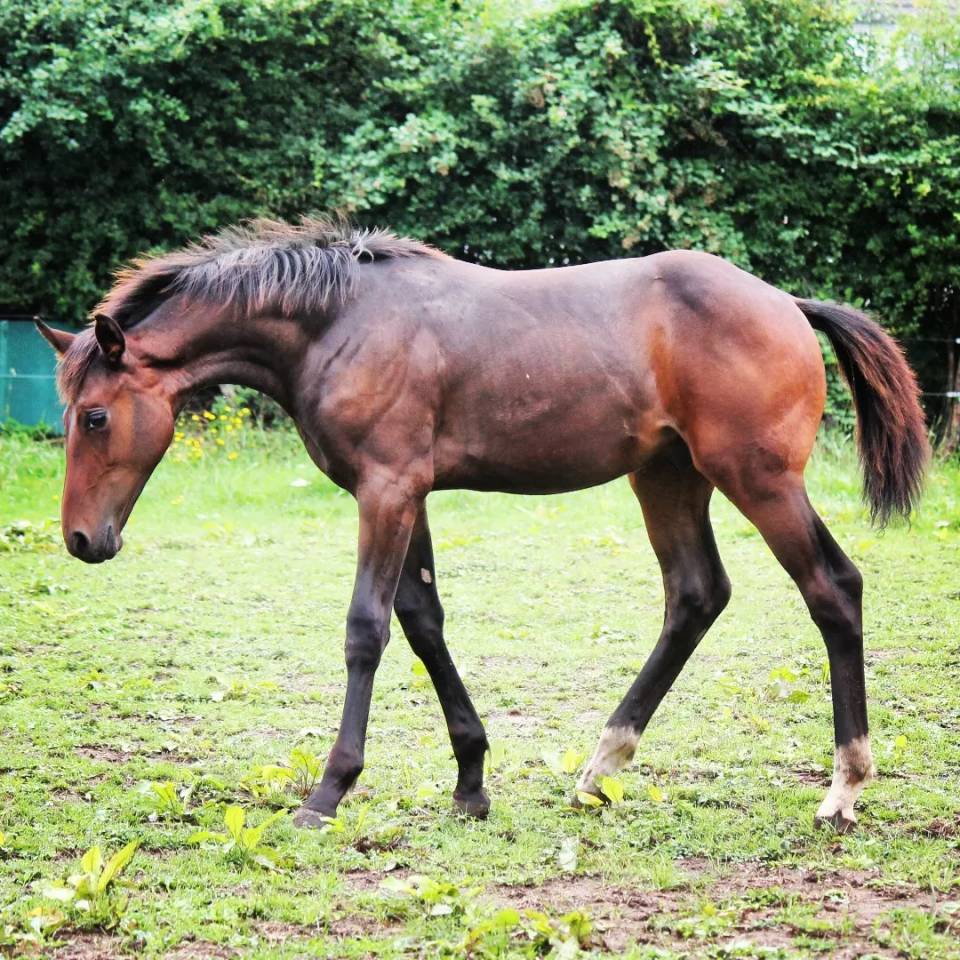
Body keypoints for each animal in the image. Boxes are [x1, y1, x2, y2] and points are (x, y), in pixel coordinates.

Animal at [37, 216, 928, 831]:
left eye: (94, 417)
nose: (82, 540)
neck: (339, 322)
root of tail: (787, 302)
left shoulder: (386, 490)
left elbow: (367, 629)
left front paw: (330, 789)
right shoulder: (409, 494)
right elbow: (423, 619)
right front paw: (471, 781)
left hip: (758, 478)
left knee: (833, 587)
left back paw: (843, 786)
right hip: (667, 477)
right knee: (696, 596)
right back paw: (601, 766)